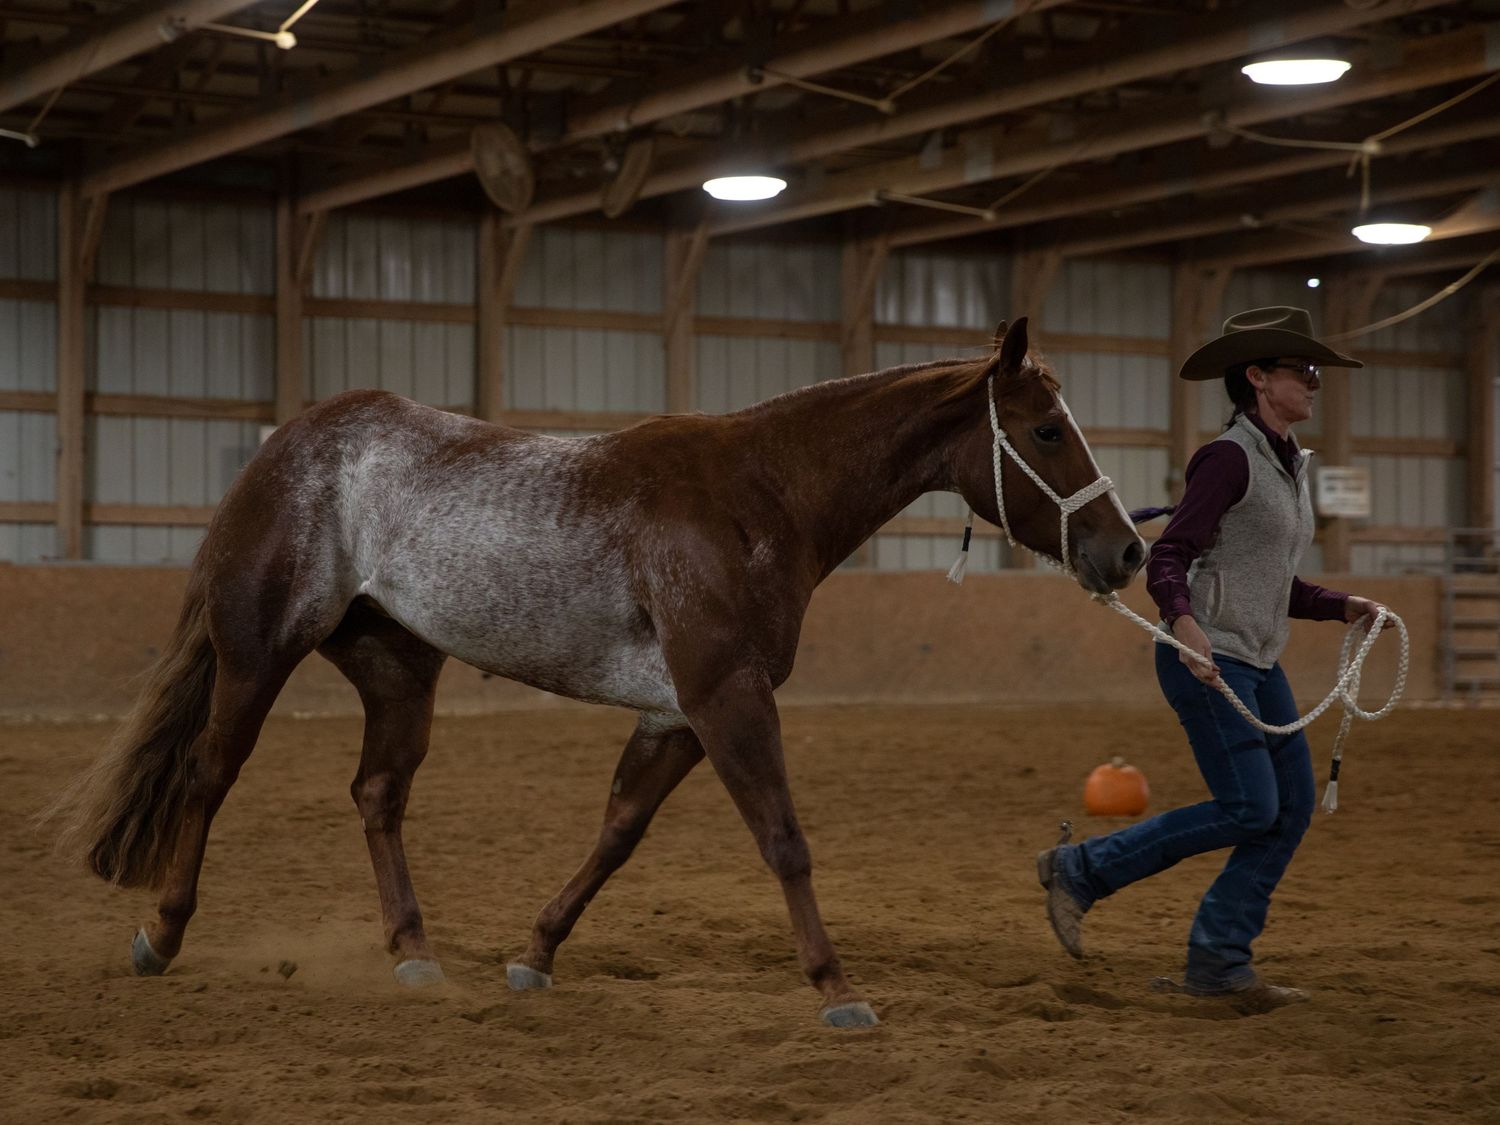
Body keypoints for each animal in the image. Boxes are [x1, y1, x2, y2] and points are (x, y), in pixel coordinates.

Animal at [50, 316, 1144, 1028]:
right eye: (1047, 429)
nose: (1126, 550)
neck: (757, 499)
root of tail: (287, 446)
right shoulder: (727, 697)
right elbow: (784, 840)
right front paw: (838, 990)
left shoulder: (678, 715)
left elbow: (618, 833)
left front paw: (533, 957)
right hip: (259, 651)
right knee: (209, 777)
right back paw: (163, 936)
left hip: (399, 671)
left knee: (376, 794)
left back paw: (415, 955)